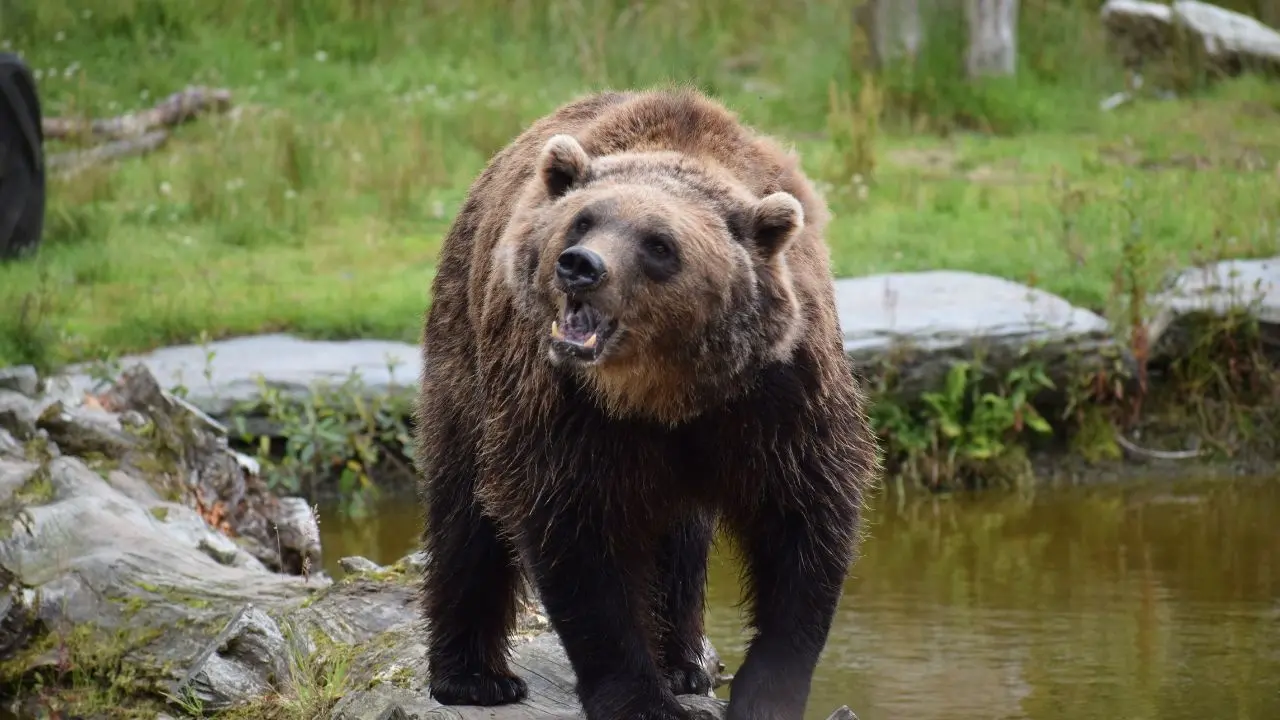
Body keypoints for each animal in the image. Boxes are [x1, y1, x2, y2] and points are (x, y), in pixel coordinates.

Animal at [414, 86, 880, 720]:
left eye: (660, 245)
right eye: (583, 220)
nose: (580, 265)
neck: (665, 391)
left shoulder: (780, 397)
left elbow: (804, 522)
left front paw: (763, 693)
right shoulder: (564, 405)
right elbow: (579, 537)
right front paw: (639, 698)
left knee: (680, 543)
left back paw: (685, 664)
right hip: (467, 355)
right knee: (465, 508)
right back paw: (474, 676)